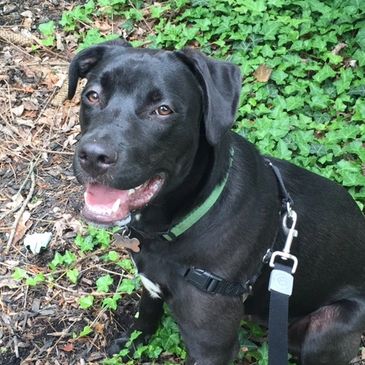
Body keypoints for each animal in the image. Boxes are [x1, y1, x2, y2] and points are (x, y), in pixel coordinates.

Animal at [67, 40, 364, 364]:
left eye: (163, 110)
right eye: (92, 95)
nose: (93, 156)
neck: (185, 218)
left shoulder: (211, 346)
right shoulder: (151, 283)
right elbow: (146, 313)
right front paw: (131, 343)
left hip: (328, 326)